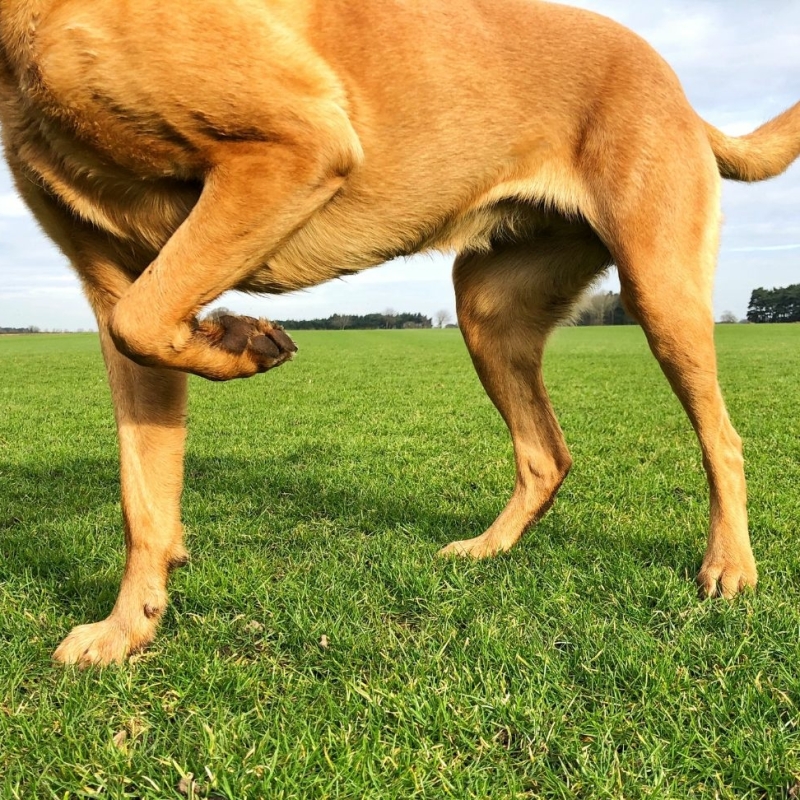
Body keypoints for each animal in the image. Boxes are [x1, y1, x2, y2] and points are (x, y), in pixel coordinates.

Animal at [0, 0, 796, 664]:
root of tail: (682, 94)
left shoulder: (297, 145)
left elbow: (142, 325)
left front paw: (242, 340)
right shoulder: (112, 280)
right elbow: (142, 490)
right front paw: (129, 626)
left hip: (660, 289)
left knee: (721, 438)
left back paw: (729, 565)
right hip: (489, 311)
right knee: (546, 454)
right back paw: (488, 548)